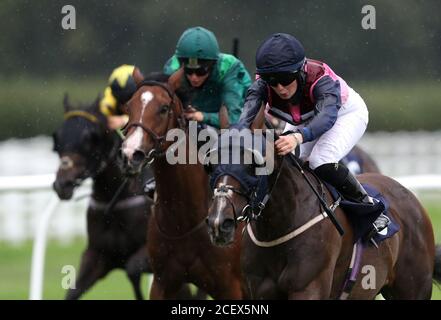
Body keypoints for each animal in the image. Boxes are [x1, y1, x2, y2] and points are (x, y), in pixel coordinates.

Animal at [52, 95, 153, 300]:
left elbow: (133, 270)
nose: (62, 184)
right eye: (57, 137)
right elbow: (72, 293)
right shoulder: (97, 256)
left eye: (90, 138)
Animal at [120, 70, 242, 300]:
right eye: (129, 107)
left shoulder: (232, 287)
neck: (184, 220)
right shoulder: (162, 282)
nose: (130, 154)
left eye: (163, 108)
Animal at [206, 119, 440, 298]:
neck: (279, 227)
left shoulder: (308, 288)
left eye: (255, 164)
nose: (219, 222)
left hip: (413, 287)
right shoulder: (261, 291)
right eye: (212, 164)